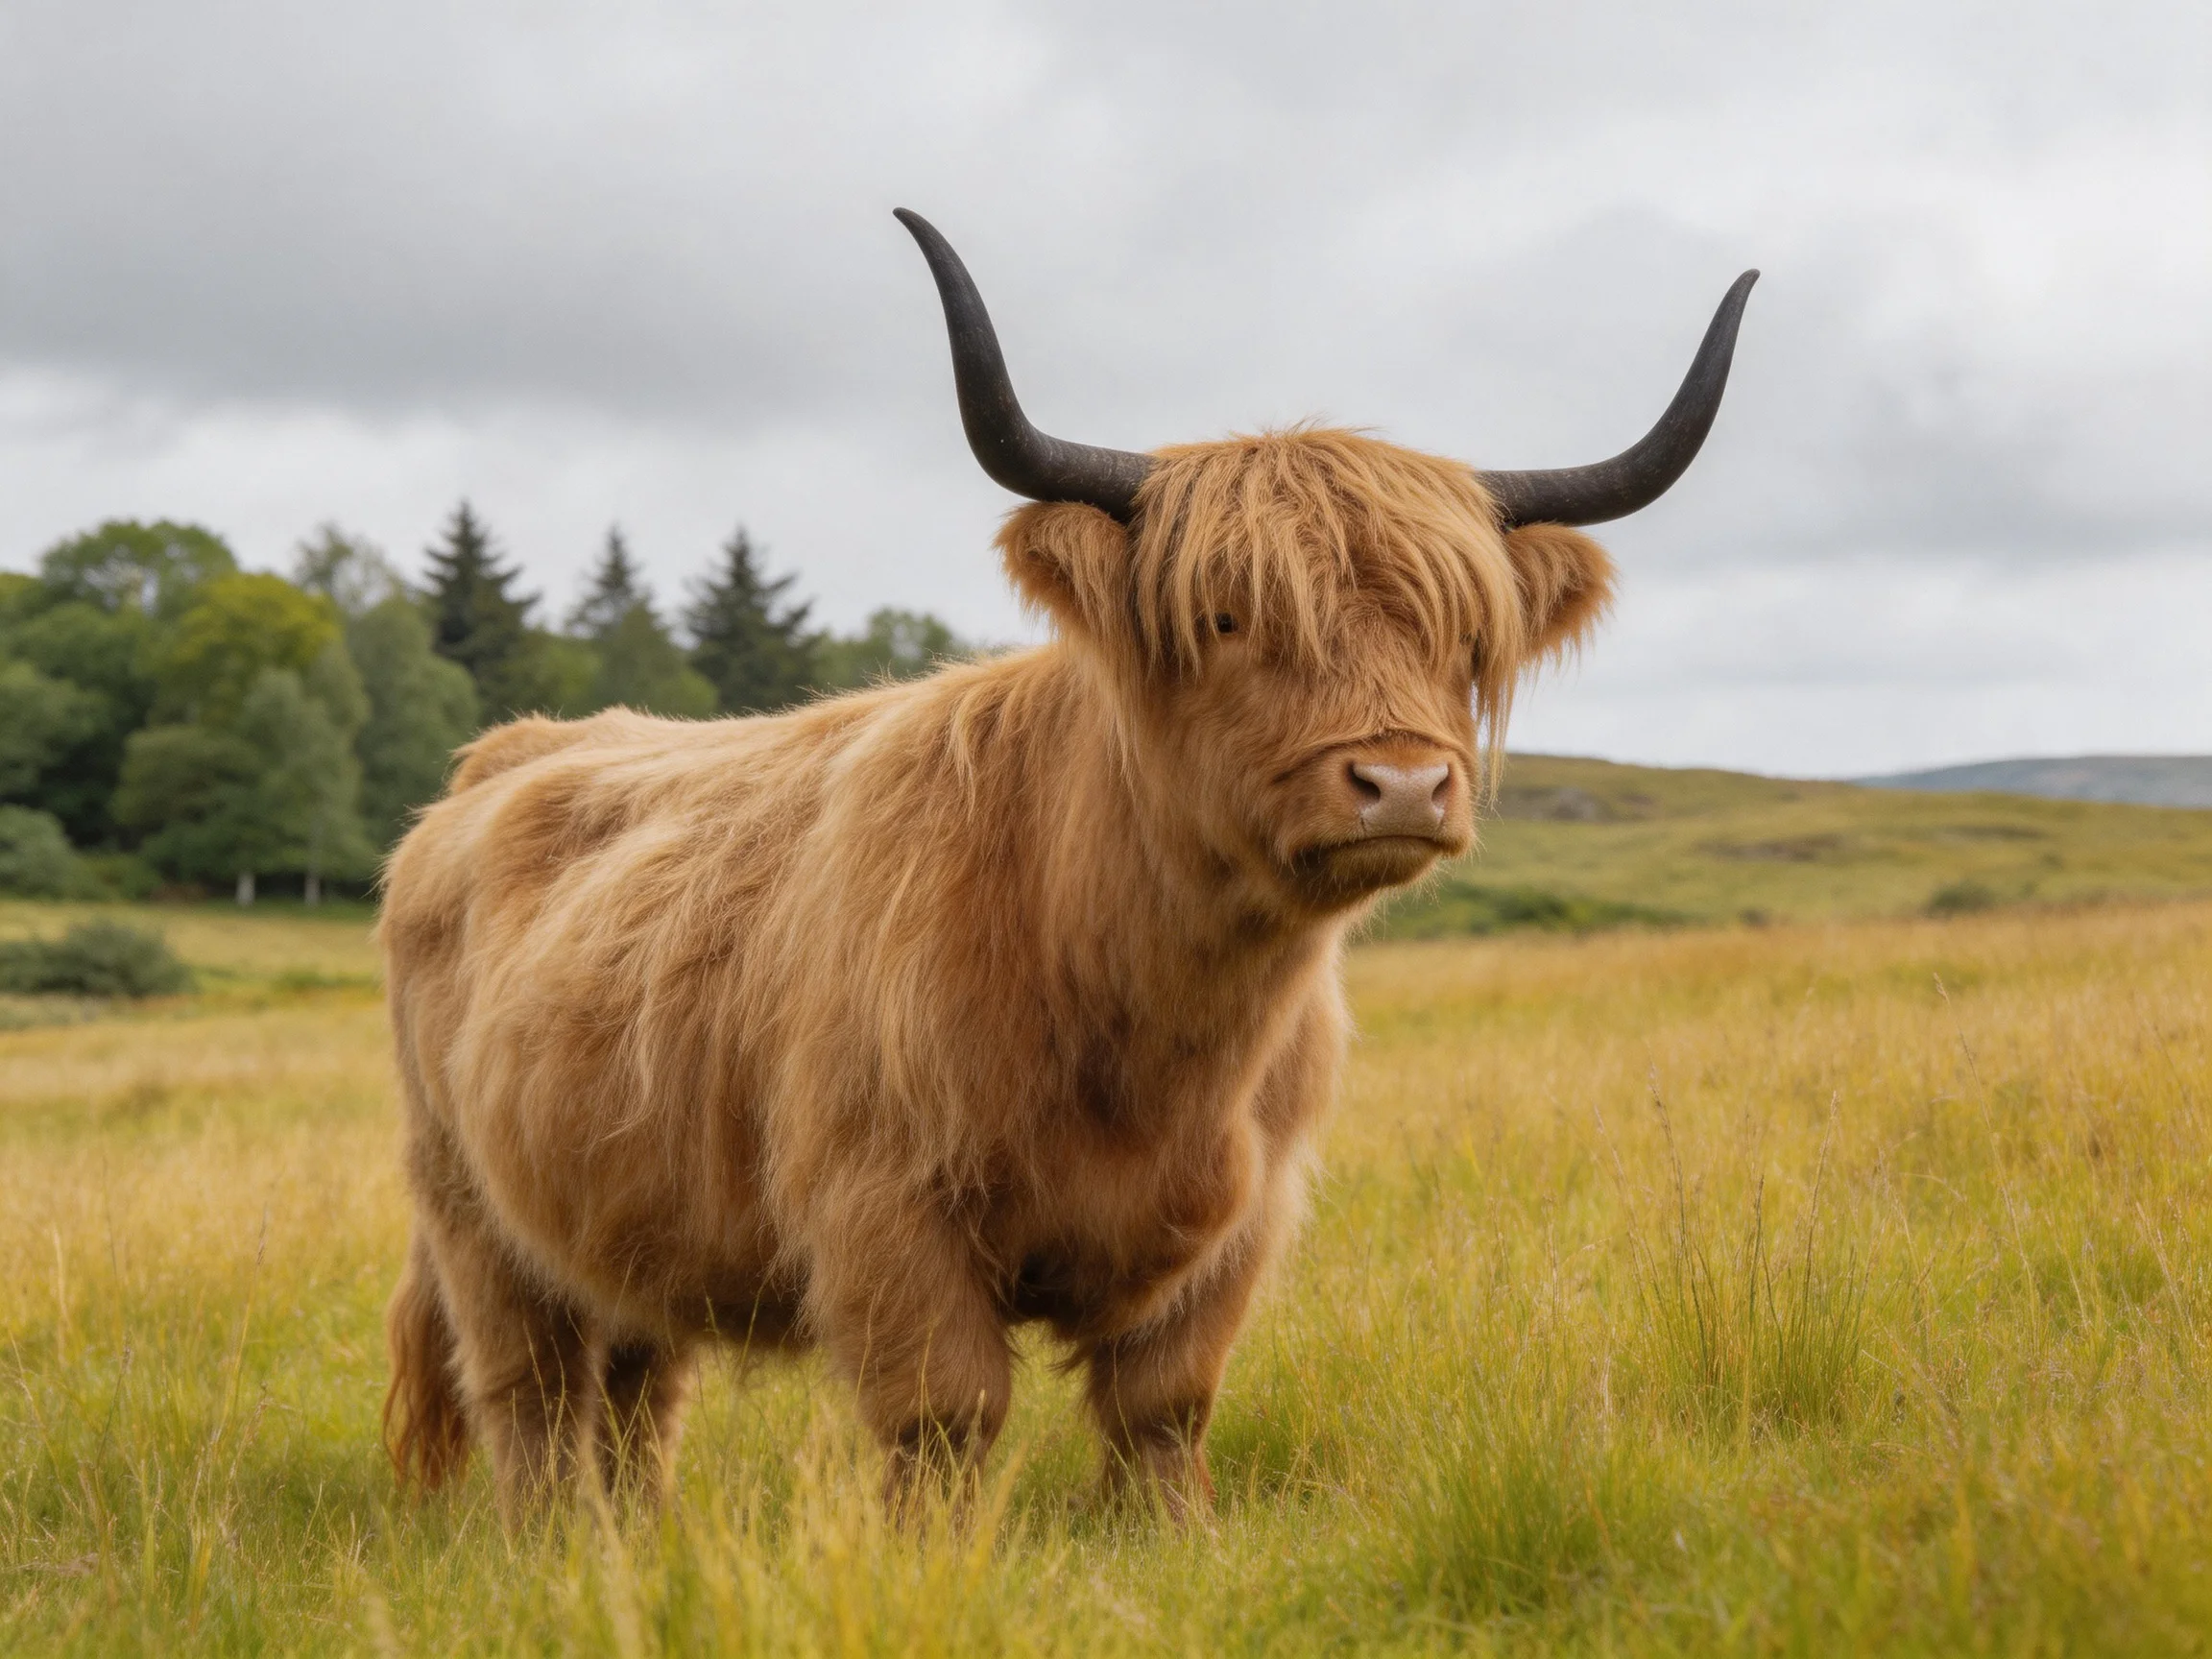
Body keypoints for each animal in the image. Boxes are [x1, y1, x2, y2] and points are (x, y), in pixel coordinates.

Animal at [380, 208, 1755, 1519]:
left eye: (1465, 638)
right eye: (1225, 617)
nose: (1404, 783)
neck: (1151, 1022)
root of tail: (503, 755)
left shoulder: (1240, 1223)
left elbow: (1166, 1408)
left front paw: (1172, 1540)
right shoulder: (885, 1207)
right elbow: (945, 1417)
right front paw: (928, 1560)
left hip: (620, 1222)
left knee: (634, 1390)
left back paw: (631, 1538)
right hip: (472, 1212)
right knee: (529, 1394)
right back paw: (551, 1546)